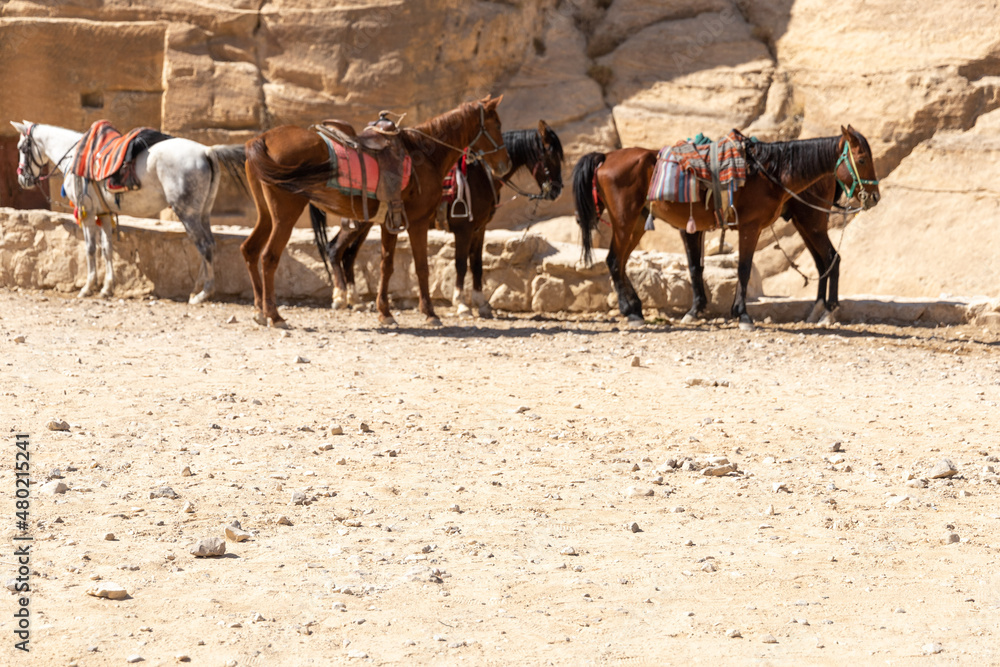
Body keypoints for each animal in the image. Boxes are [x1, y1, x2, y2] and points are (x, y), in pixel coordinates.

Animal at [11, 121, 246, 303]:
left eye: (22, 147)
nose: (22, 179)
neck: (76, 157)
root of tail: (206, 151)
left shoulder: (87, 212)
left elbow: (90, 249)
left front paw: (88, 288)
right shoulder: (103, 214)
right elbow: (107, 249)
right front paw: (107, 288)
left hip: (187, 213)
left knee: (204, 246)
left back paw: (203, 293)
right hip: (202, 213)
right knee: (209, 244)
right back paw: (197, 289)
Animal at [243, 94, 509, 328]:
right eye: (497, 124)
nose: (504, 164)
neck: (426, 153)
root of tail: (263, 139)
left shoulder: (390, 221)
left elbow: (386, 265)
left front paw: (385, 313)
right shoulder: (419, 222)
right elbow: (422, 267)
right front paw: (430, 313)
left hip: (267, 215)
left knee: (250, 250)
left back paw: (259, 311)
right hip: (285, 216)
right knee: (269, 257)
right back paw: (275, 315)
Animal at [310, 120, 564, 318]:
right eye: (550, 155)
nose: (556, 190)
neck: (482, 174)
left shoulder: (479, 229)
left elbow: (477, 264)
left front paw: (482, 304)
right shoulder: (464, 229)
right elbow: (461, 264)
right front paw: (462, 305)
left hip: (366, 223)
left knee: (349, 255)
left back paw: (355, 300)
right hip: (358, 223)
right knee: (335, 249)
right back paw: (341, 297)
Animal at [572, 126, 880, 330]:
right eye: (862, 160)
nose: (875, 197)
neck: (769, 171)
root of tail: (605, 158)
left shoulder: (699, 228)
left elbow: (699, 268)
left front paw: (702, 311)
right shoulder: (747, 226)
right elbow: (737, 268)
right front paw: (741, 315)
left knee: (827, 260)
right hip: (626, 222)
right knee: (615, 261)